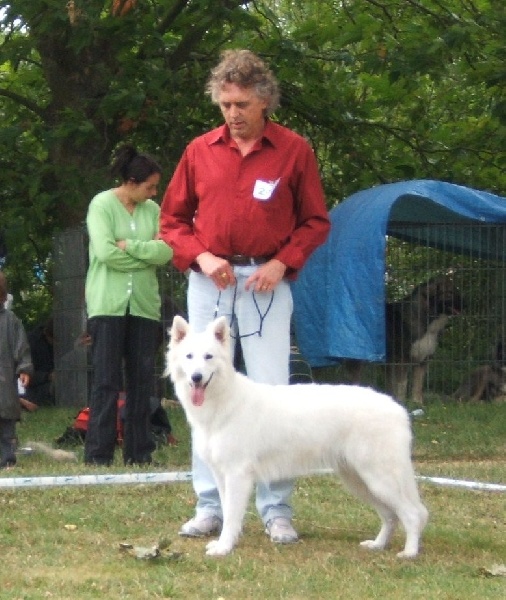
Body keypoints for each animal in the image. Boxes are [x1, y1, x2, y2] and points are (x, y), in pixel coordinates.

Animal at [167, 315, 428, 558]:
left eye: (208, 357)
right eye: (189, 357)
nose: (197, 377)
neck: (223, 402)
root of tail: (398, 409)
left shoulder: (237, 476)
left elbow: (231, 517)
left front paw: (224, 548)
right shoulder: (222, 476)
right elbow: (227, 511)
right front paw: (224, 543)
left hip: (379, 479)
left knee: (412, 514)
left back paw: (409, 553)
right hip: (360, 480)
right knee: (390, 516)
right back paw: (378, 545)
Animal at [347, 274, 463, 404]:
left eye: (456, 290)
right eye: (450, 293)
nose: (466, 304)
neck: (424, 316)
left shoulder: (422, 360)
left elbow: (417, 385)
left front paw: (417, 403)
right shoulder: (402, 359)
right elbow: (402, 384)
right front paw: (401, 402)